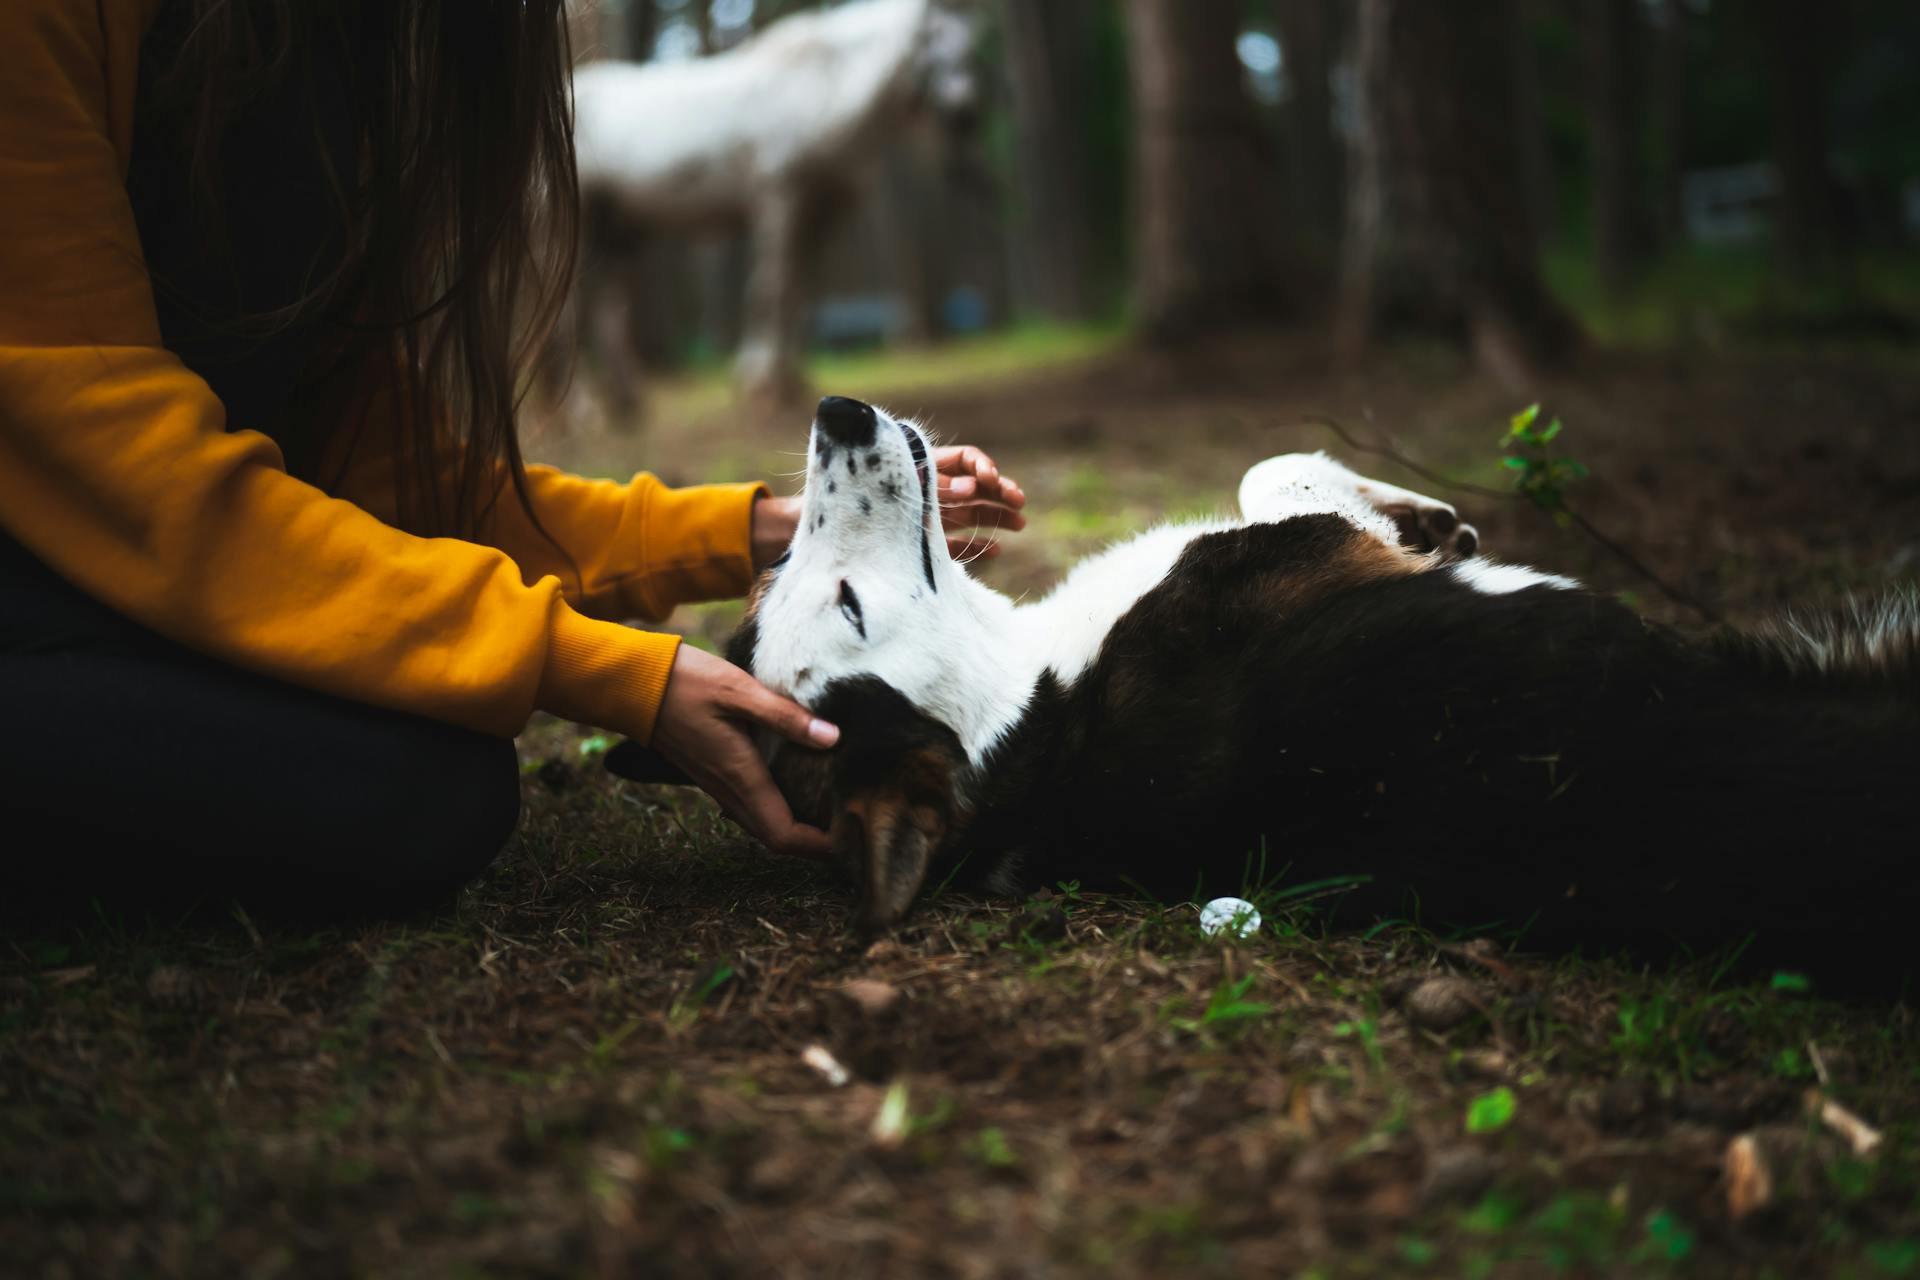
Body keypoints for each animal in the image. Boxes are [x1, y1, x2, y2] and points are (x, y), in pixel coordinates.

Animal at [610, 401, 1904, 982]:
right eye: (847, 605)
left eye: (786, 572)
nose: (838, 412)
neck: (1028, 705)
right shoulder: (1292, 550)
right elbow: (1278, 472)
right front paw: (1430, 521)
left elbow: (1268, 466)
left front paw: (1433, 516)